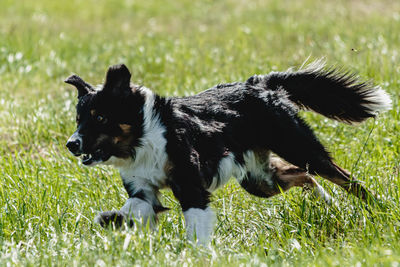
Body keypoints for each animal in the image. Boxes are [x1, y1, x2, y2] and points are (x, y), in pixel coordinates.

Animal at [65, 62, 390, 245]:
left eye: (100, 117)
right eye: (78, 120)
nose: (71, 144)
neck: (143, 139)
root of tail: (261, 84)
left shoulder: (191, 185)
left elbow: (196, 224)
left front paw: (196, 254)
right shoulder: (142, 188)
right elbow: (134, 208)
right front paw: (112, 219)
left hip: (299, 149)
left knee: (345, 178)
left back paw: (380, 208)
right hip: (259, 180)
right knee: (304, 176)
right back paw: (328, 202)